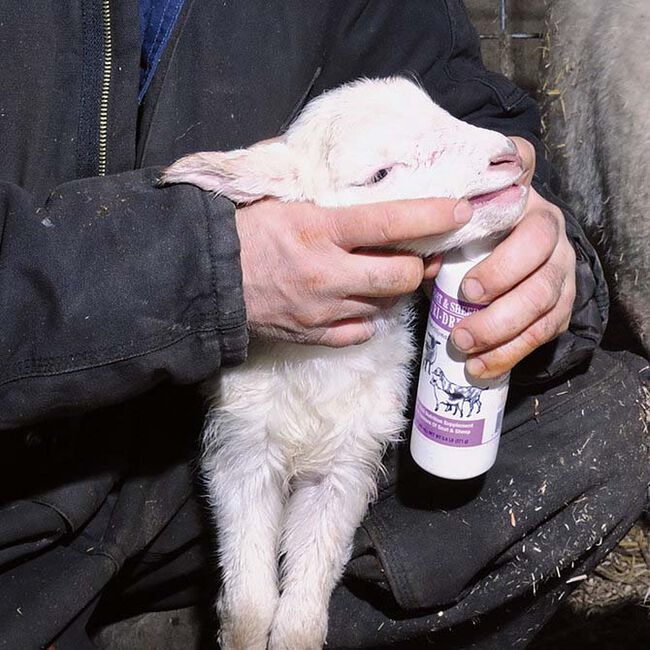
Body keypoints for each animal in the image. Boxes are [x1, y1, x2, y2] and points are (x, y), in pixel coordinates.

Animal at [163, 77, 527, 650]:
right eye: (378, 173)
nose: (507, 155)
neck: (315, 372)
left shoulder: (346, 467)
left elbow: (299, 619)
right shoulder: (241, 452)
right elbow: (249, 606)